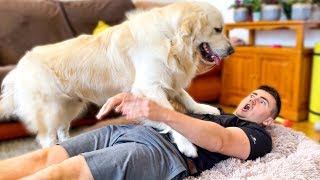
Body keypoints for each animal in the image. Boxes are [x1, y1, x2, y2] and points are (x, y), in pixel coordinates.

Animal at [0, 1, 232, 158]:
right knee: (47, 137)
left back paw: (68, 144)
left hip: (70, 106)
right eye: (218, 29)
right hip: (50, 109)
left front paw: (204, 108)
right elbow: (170, 115)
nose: (232, 49)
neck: (170, 39)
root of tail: (19, 67)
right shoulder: (149, 86)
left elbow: (186, 98)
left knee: (62, 129)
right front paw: (186, 145)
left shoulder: (169, 78)